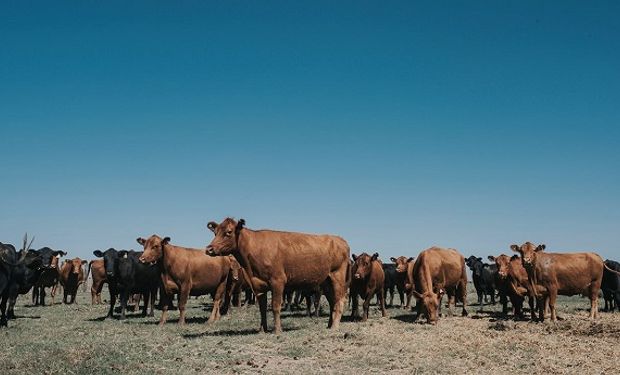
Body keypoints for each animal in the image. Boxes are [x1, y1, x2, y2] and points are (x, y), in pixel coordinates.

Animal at [207, 217, 348, 334]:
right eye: (215, 232)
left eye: (229, 232)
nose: (209, 249)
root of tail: (340, 239)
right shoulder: (258, 285)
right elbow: (262, 308)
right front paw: (262, 330)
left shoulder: (278, 281)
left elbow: (275, 306)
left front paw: (277, 330)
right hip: (326, 281)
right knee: (332, 302)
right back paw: (329, 325)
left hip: (337, 277)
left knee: (340, 300)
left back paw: (335, 326)